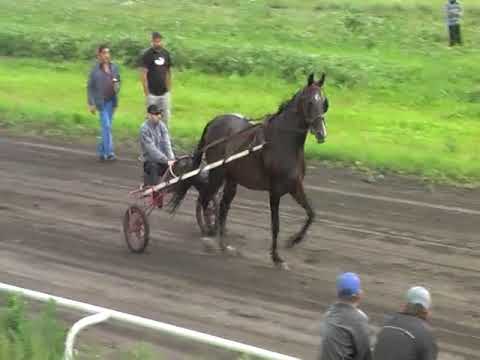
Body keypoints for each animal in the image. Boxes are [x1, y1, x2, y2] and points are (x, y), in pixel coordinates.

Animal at [167, 72, 328, 268]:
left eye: (324, 102)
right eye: (310, 102)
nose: (321, 133)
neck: (283, 141)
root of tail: (214, 121)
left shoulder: (295, 186)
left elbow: (311, 213)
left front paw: (293, 240)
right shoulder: (275, 191)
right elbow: (275, 225)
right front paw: (276, 257)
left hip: (231, 178)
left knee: (222, 206)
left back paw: (223, 243)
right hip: (217, 173)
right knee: (205, 199)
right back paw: (209, 236)